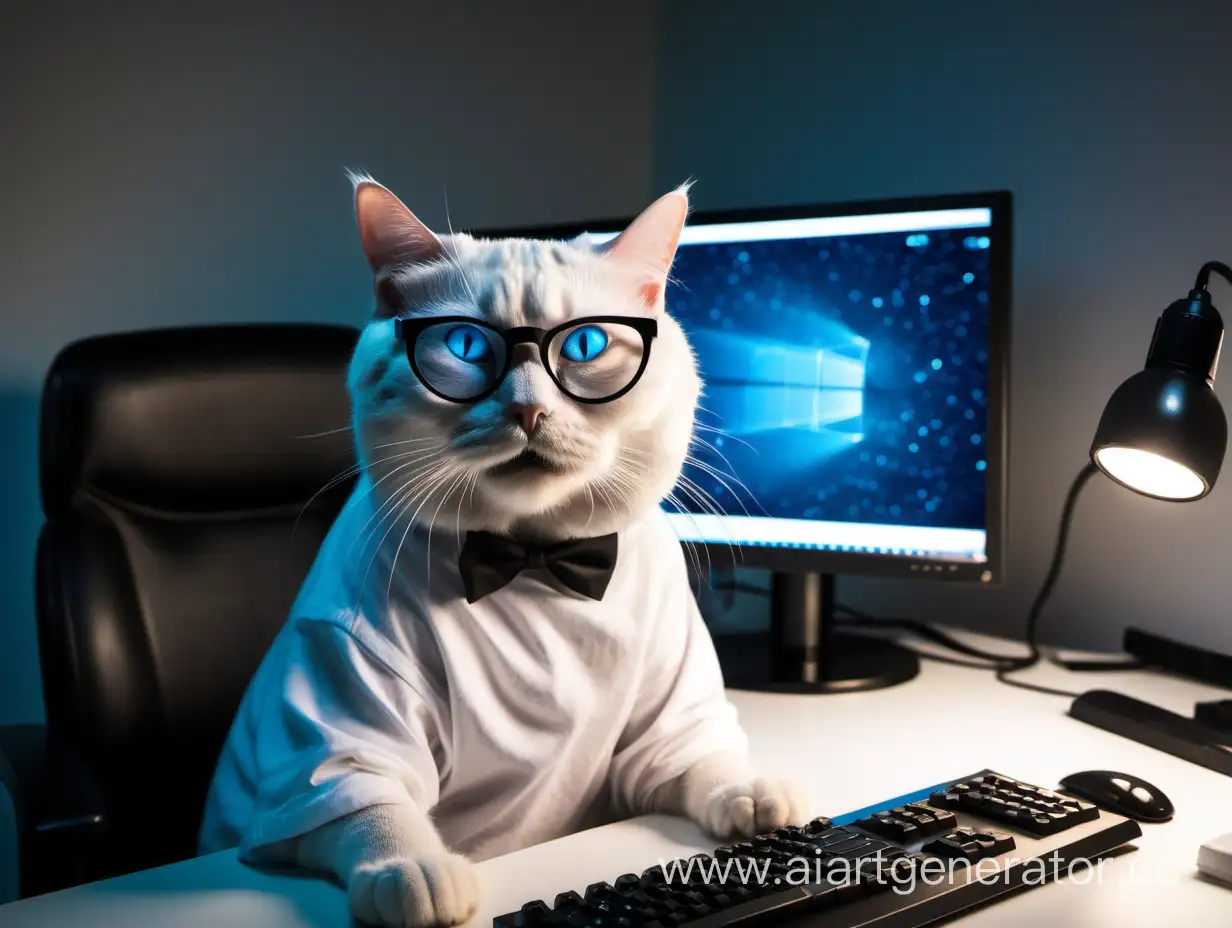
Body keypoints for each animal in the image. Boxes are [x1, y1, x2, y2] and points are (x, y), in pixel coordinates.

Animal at [198, 177, 813, 921]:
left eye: (584, 345)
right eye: (465, 346)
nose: (528, 411)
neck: (534, 564)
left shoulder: (663, 725)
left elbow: (705, 761)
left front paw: (755, 795)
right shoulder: (342, 729)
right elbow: (373, 809)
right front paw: (415, 873)